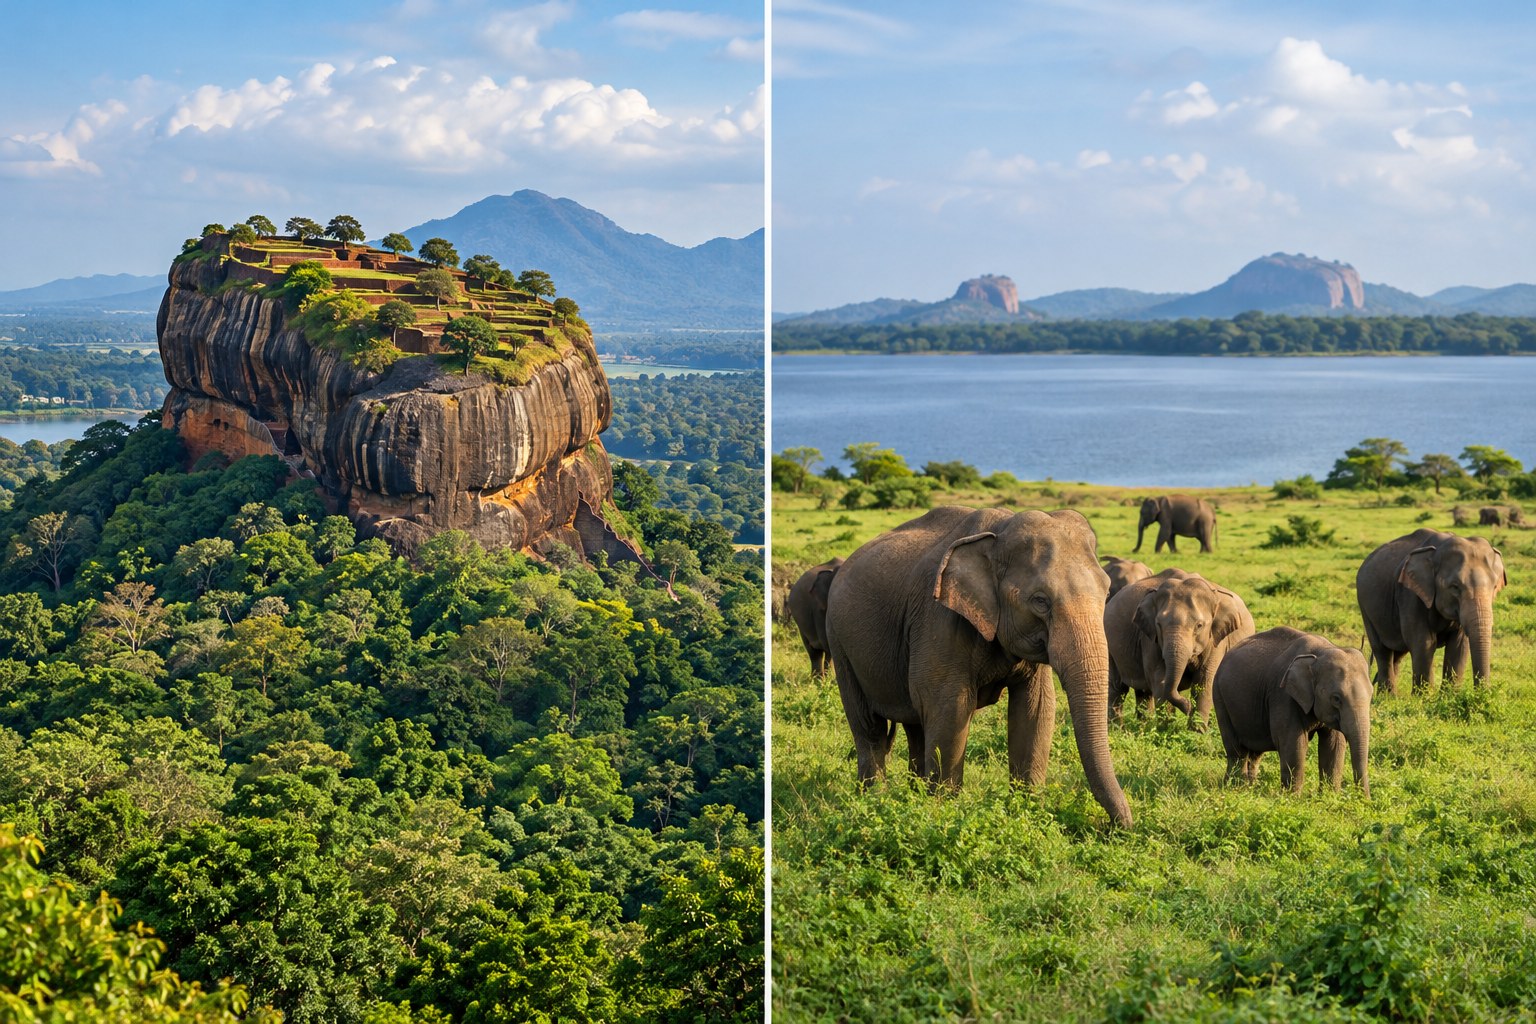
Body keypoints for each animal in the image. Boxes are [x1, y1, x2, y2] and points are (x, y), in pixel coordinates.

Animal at [823, 505, 1133, 827]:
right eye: (1040, 601)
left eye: (1107, 593)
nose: (1113, 826)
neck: (999, 532)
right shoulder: (939, 619)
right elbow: (951, 708)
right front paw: (945, 811)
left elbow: (1036, 707)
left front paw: (1027, 811)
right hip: (839, 641)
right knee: (868, 725)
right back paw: (875, 799)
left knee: (915, 726)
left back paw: (911, 796)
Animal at [1104, 569, 1254, 727]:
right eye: (1159, 624)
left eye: (1199, 625)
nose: (1187, 706)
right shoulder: (1149, 638)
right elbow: (1159, 680)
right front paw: (1167, 729)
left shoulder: (1217, 640)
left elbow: (1204, 681)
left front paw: (1196, 730)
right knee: (1118, 688)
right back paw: (1119, 729)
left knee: (1143, 692)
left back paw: (1142, 727)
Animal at [1212, 626, 1371, 797]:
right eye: (1336, 698)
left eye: (1371, 694)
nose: (1365, 799)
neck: (1321, 652)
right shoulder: (1283, 696)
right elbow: (1293, 742)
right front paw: (1293, 797)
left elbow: (1333, 744)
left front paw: (1328, 796)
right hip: (1220, 697)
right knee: (1236, 751)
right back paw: (1236, 788)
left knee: (1255, 753)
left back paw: (1249, 787)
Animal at [1357, 529, 1507, 694]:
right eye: (1455, 587)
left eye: (1495, 587)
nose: (1484, 693)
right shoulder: (1411, 595)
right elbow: (1424, 642)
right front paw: (1423, 698)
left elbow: (1459, 645)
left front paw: (1449, 696)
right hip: (1365, 609)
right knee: (1382, 650)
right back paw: (1387, 697)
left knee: (1398, 653)